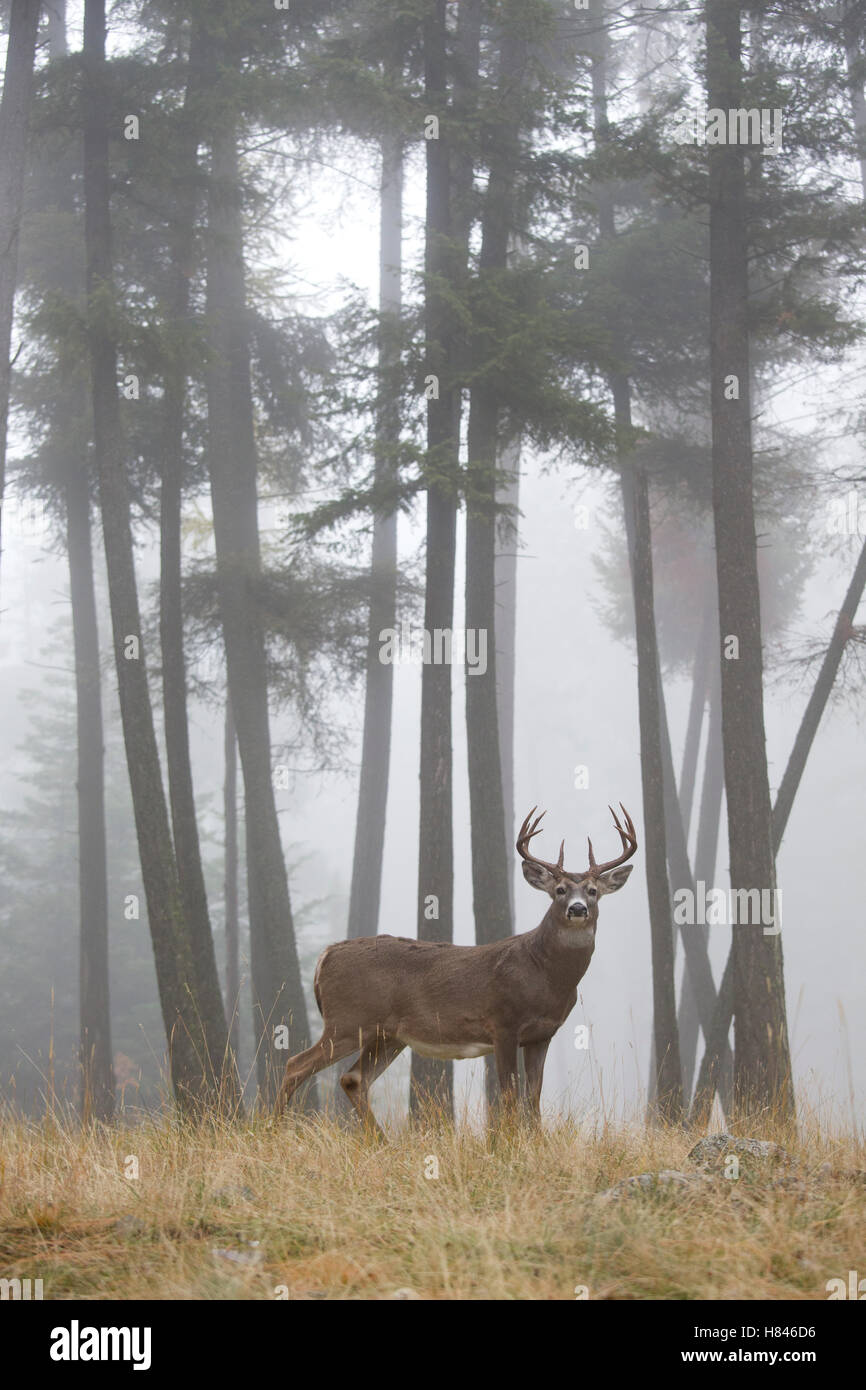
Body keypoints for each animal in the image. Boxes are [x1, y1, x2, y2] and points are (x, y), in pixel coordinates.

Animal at [275, 804, 637, 1131]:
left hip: (388, 1035)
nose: (577, 909)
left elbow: (533, 1100)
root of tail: (326, 955)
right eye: (559, 890)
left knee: (353, 1079)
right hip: (349, 1020)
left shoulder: (542, 1035)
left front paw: (536, 1145)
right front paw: (507, 1145)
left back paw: (381, 1141)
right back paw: (274, 1129)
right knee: (295, 1064)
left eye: (593, 891)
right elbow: (509, 1096)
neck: (546, 976)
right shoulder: (503, 1023)